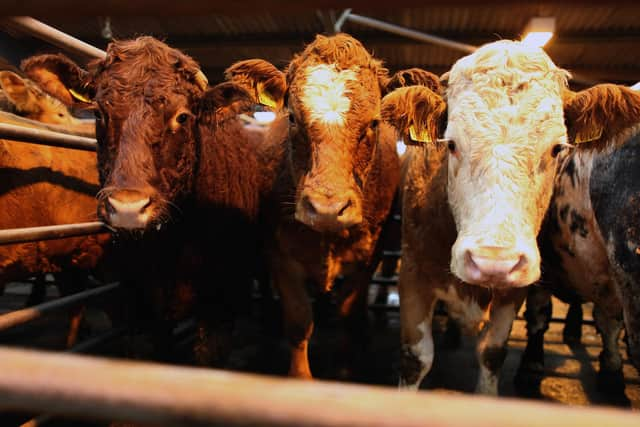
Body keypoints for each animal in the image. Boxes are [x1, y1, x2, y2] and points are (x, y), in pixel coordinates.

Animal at [220, 35, 444, 380]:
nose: (327, 208)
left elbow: (349, 315)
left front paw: (345, 371)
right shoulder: (280, 255)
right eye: (293, 118)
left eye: (373, 123)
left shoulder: (368, 258)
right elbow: (299, 321)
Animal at [380, 40, 576, 394]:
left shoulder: (514, 292)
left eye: (557, 148)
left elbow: (492, 354)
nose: (492, 262)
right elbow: (416, 359)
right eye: (451, 144)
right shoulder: (413, 274)